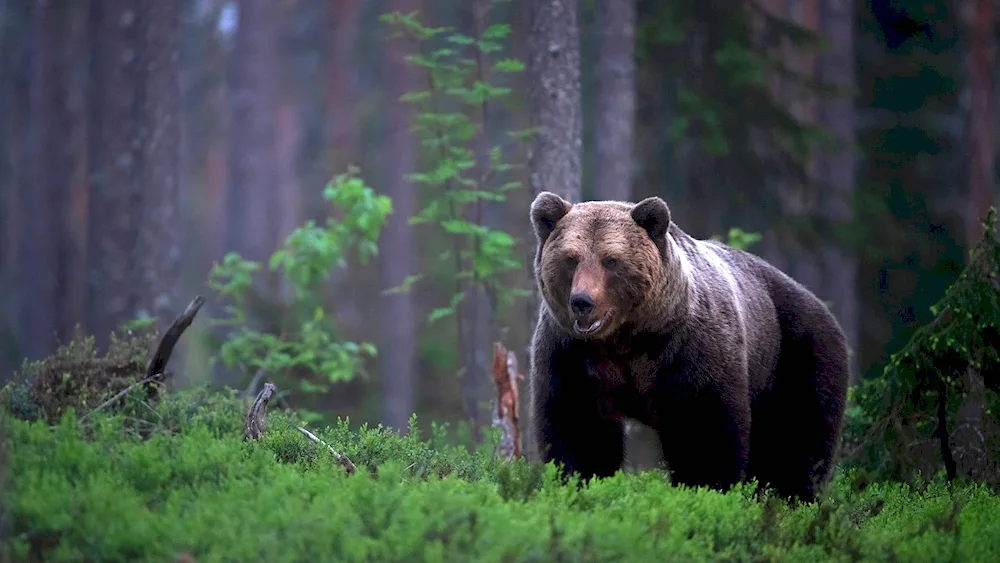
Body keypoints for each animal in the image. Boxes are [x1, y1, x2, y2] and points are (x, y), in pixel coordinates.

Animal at [528, 191, 848, 502]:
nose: (582, 301)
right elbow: (579, 430)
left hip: (796, 353)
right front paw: (578, 483)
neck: (627, 338)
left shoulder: (689, 350)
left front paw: (705, 490)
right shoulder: (573, 355)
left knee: (797, 440)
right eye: (571, 258)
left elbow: (703, 432)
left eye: (611, 260)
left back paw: (794, 497)